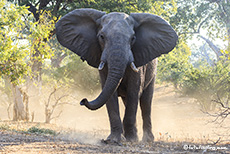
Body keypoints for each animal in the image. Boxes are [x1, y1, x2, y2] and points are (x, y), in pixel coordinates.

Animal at [55, 8, 178, 143]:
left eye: (133, 38)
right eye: (102, 37)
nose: (83, 100)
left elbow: (134, 91)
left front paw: (131, 140)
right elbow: (110, 95)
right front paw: (113, 140)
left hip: (153, 73)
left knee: (145, 102)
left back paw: (146, 140)